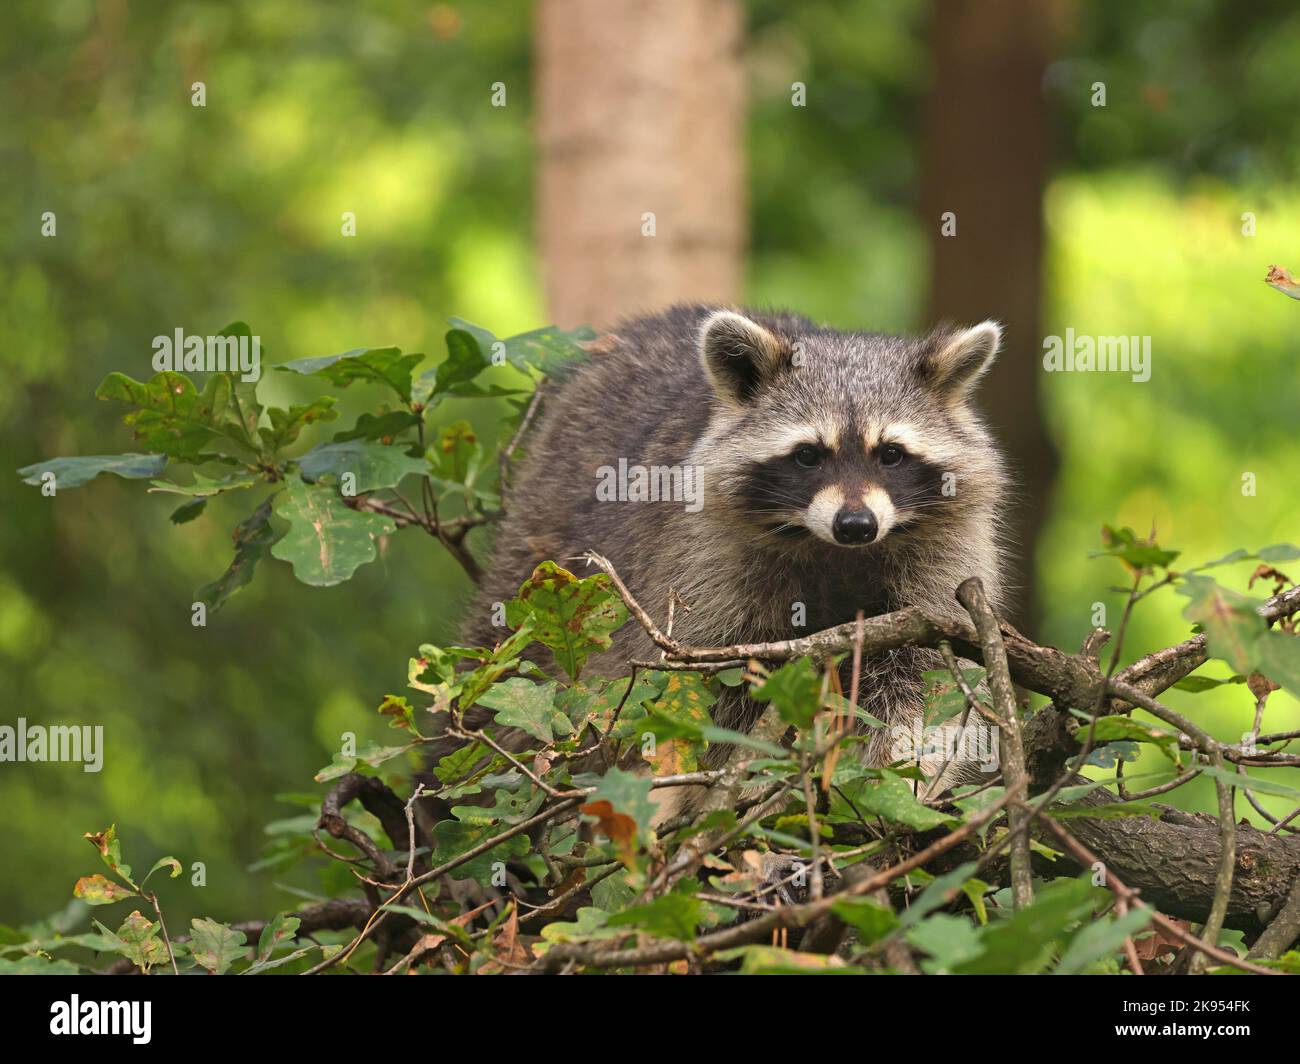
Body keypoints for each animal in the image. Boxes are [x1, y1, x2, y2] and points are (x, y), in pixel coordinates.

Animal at [460, 304, 1010, 814]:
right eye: (808, 455)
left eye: (891, 454)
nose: (855, 525)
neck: (835, 552)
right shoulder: (706, 564)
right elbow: (718, 692)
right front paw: (747, 790)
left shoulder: (941, 565)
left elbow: (923, 685)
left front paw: (897, 781)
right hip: (545, 537)